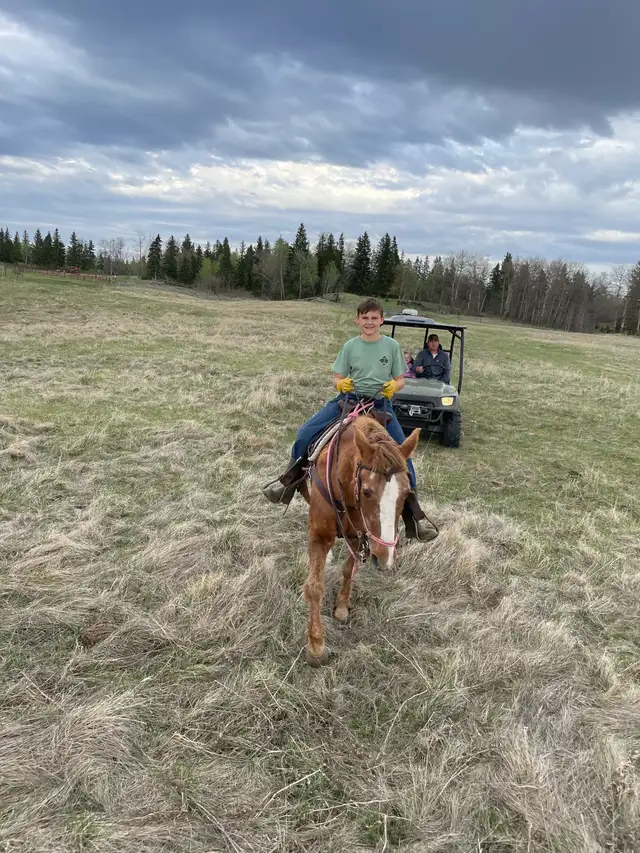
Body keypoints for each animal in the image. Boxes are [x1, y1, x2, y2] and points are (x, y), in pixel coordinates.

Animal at [297, 411, 421, 667]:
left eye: (407, 493)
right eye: (367, 491)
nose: (385, 558)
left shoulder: (359, 536)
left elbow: (348, 570)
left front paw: (342, 607)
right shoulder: (319, 535)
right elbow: (314, 586)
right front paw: (316, 646)